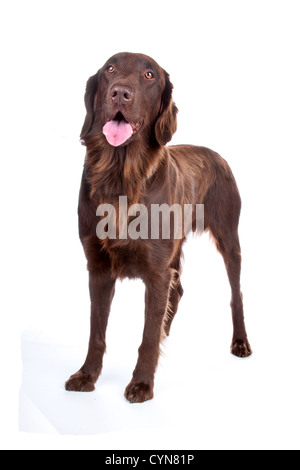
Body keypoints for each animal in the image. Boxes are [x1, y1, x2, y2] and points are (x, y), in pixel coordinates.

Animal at [66, 52, 253, 404]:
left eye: (149, 75)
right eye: (110, 68)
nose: (120, 93)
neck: (121, 176)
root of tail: (217, 154)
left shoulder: (156, 271)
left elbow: (147, 337)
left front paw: (141, 384)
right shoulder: (98, 268)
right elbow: (97, 332)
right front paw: (87, 375)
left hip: (229, 238)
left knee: (236, 294)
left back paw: (240, 342)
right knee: (176, 293)